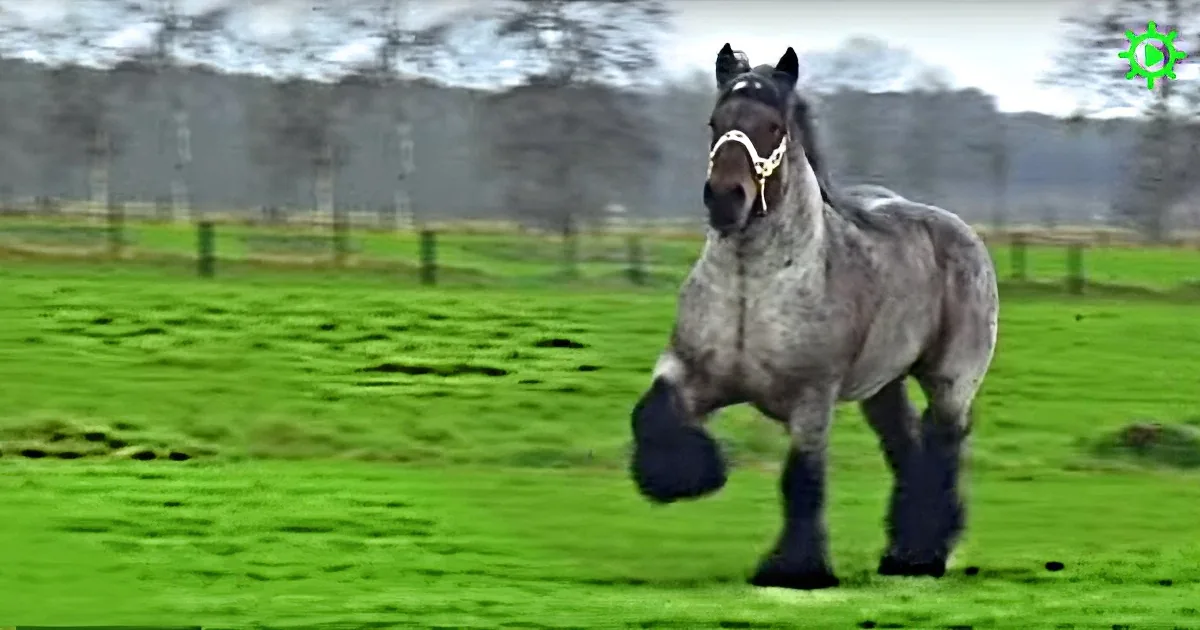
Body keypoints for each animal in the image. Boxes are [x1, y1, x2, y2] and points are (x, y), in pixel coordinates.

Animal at [628, 44, 999, 590]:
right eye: (716, 122)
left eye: (772, 127)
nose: (725, 199)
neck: (752, 289)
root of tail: (960, 231)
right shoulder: (687, 371)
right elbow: (651, 417)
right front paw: (691, 477)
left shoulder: (811, 399)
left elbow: (801, 479)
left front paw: (793, 571)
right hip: (883, 386)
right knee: (906, 449)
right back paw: (901, 552)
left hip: (950, 382)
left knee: (940, 455)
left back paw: (920, 557)